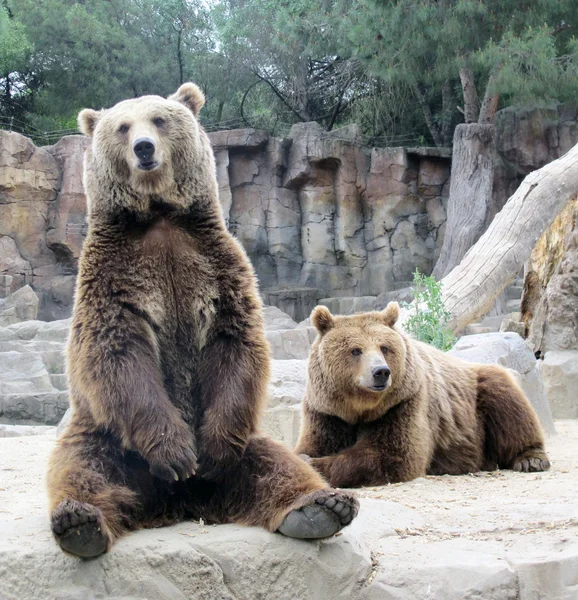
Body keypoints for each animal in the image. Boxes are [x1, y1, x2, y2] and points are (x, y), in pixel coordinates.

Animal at [47, 83, 356, 556]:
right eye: (122, 126)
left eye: (159, 119)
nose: (143, 148)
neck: (159, 216)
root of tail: (178, 503)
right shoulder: (112, 277)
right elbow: (117, 350)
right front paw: (175, 452)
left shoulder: (216, 265)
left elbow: (235, 341)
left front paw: (209, 452)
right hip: (104, 435)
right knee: (83, 467)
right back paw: (79, 521)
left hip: (250, 438)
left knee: (275, 463)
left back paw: (319, 506)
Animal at [294, 302, 548, 490]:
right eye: (355, 350)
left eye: (384, 347)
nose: (381, 372)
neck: (361, 408)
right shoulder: (327, 411)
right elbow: (313, 443)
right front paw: (305, 457)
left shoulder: (403, 402)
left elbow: (391, 455)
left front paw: (313, 463)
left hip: (477, 395)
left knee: (507, 401)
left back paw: (531, 459)